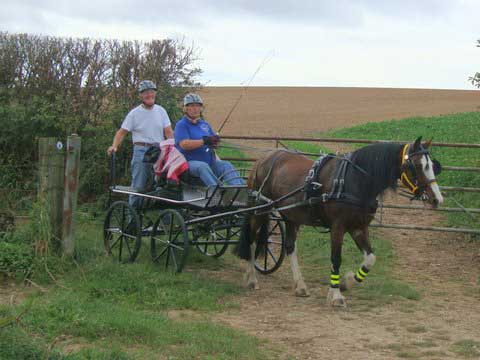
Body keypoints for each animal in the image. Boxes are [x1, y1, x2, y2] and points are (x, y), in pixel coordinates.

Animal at [234, 137, 444, 306]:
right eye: (417, 165)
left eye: (432, 166)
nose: (437, 199)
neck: (355, 180)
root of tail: (264, 159)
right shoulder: (338, 227)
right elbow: (336, 258)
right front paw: (336, 295)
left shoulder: (359, 227)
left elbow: (370, 258)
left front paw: (346, 283)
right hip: (261, 209)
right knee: (251, 239)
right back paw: (251, 279)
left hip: (292, 216)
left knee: (290, 246)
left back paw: (300, 285)